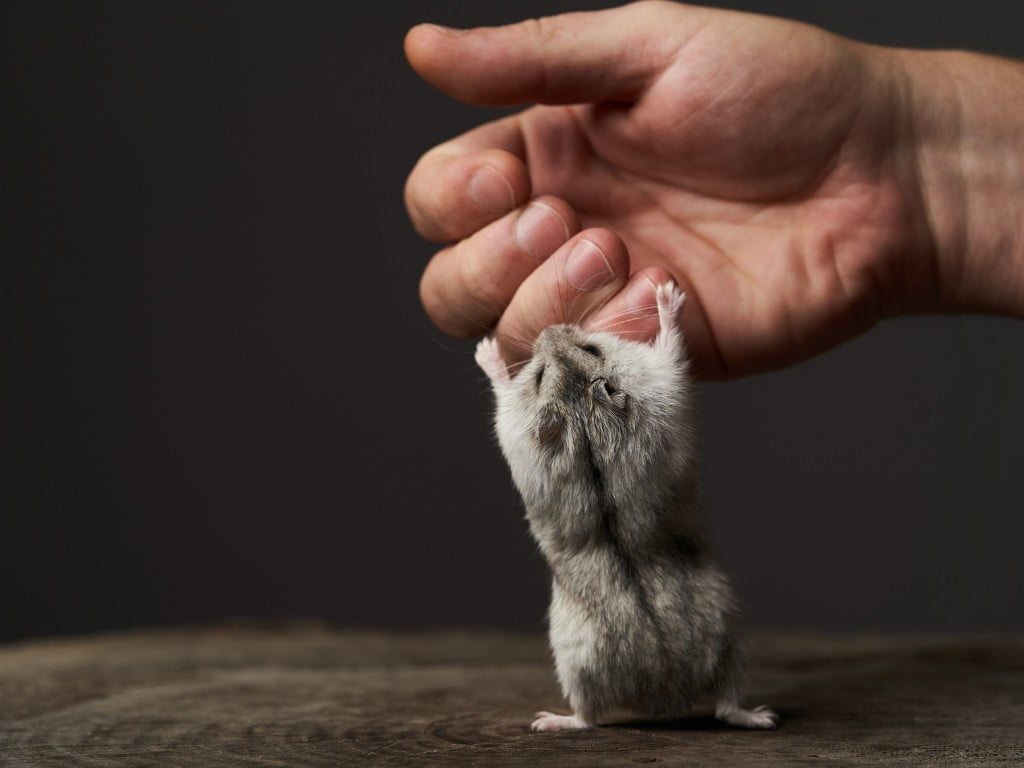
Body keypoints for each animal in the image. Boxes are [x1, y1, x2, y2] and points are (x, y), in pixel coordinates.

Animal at [475, 282, 778, 733]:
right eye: (539, 375)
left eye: (590, 347)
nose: (548, 328)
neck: (583, 409)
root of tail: (664, 689)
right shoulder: (662, 376)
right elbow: (670, 344)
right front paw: (668, 294)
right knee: (594, 717)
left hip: (722, 640)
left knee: (716, 707)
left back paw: (760, 716)